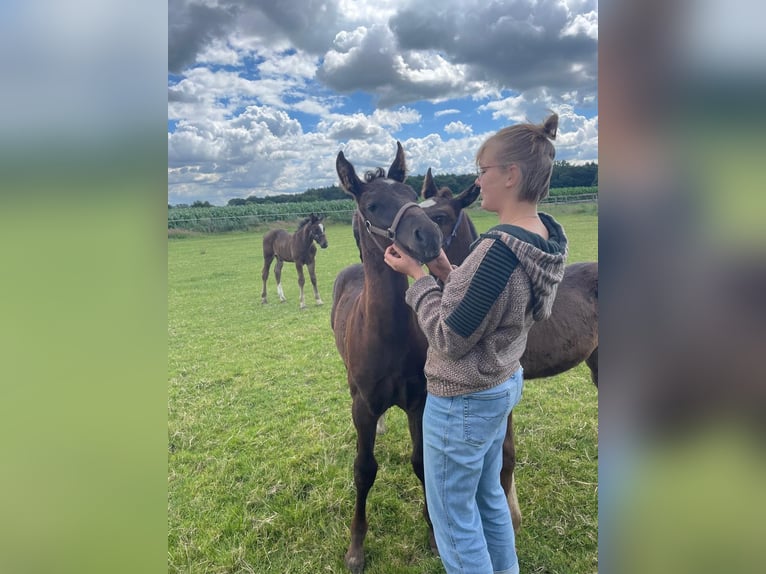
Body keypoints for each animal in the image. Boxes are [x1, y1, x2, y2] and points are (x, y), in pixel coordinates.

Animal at [330, 142, 444, 574]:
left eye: (413, 196)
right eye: (373, 205)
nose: (429, 236)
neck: (388, 334)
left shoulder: (418, 401)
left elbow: (421, 461)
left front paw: (434, 534)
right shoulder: (363, 405)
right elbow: (364, 471)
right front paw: (355, 549)